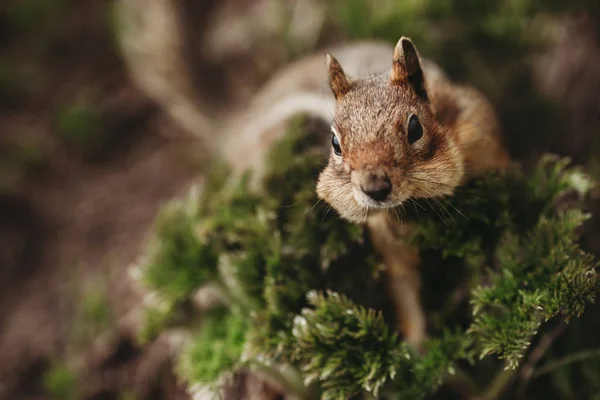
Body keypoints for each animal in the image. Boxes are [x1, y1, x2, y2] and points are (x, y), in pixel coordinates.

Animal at [119, 0, 508, 346]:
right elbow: (404, 289)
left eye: (415, 128)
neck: (415, 203)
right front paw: (416, 345)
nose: (374, 187)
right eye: (335, 142)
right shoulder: (386, 238)